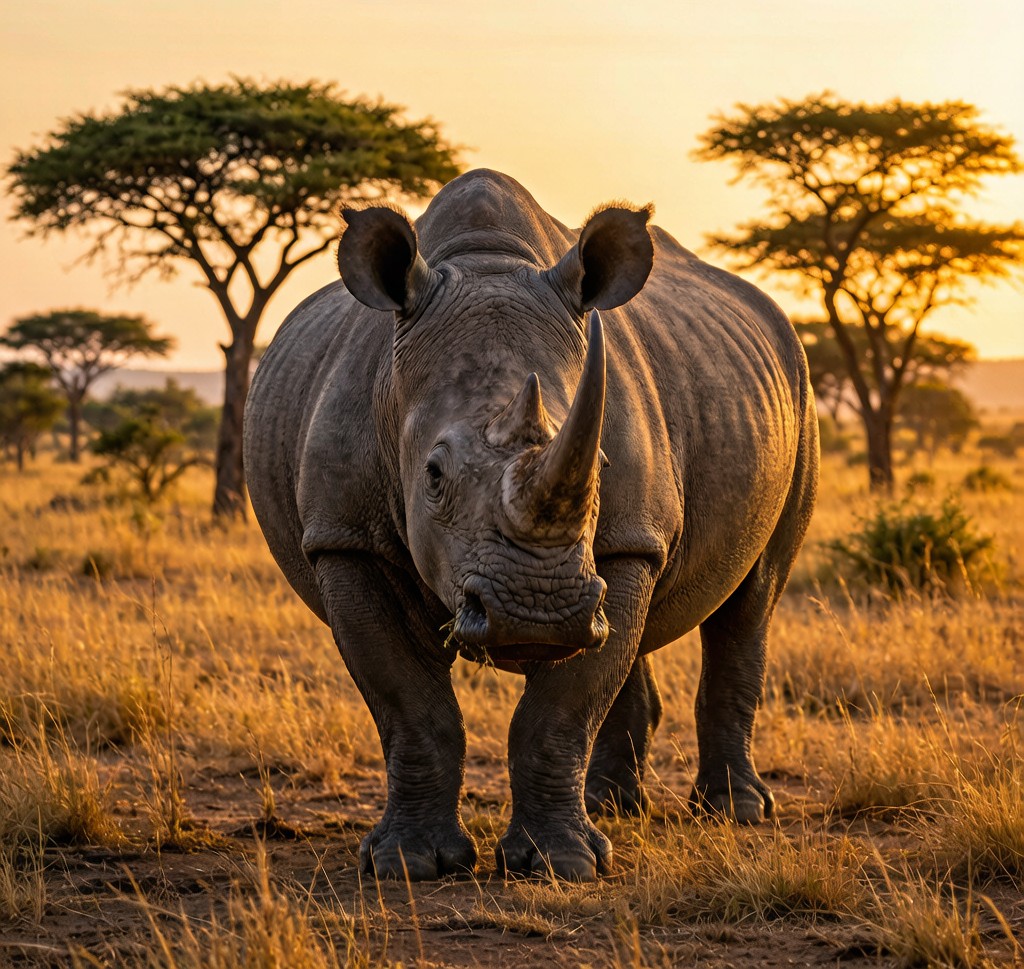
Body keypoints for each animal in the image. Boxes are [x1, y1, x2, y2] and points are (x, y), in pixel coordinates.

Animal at [244, 169, 818, 881]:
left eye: (601, 465)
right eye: (433, 475)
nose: (538, 613)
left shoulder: (623, 544)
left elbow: (562, 709)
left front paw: (561, 866)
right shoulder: (345, 540)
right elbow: (411, 705)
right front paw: (408, 864)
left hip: (798, 394)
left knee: (750, 598)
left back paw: (732, 813)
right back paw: (613, 807)